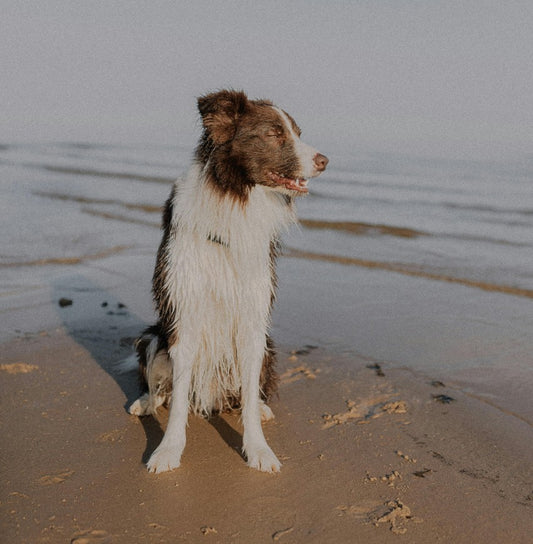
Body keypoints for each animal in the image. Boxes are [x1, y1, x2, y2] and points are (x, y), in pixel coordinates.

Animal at [129, 89, 328, 472]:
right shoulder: (185, 314)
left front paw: (259, 450)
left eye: (297, 132)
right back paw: (144, 402)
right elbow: (177, 403)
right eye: (274, 134)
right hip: (153, 337)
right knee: (160, 388)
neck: (236, 200)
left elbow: (248, 397)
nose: (325, 161)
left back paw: (262, 408)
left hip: (268, 345)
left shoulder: (252, 319)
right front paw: (168, 450)